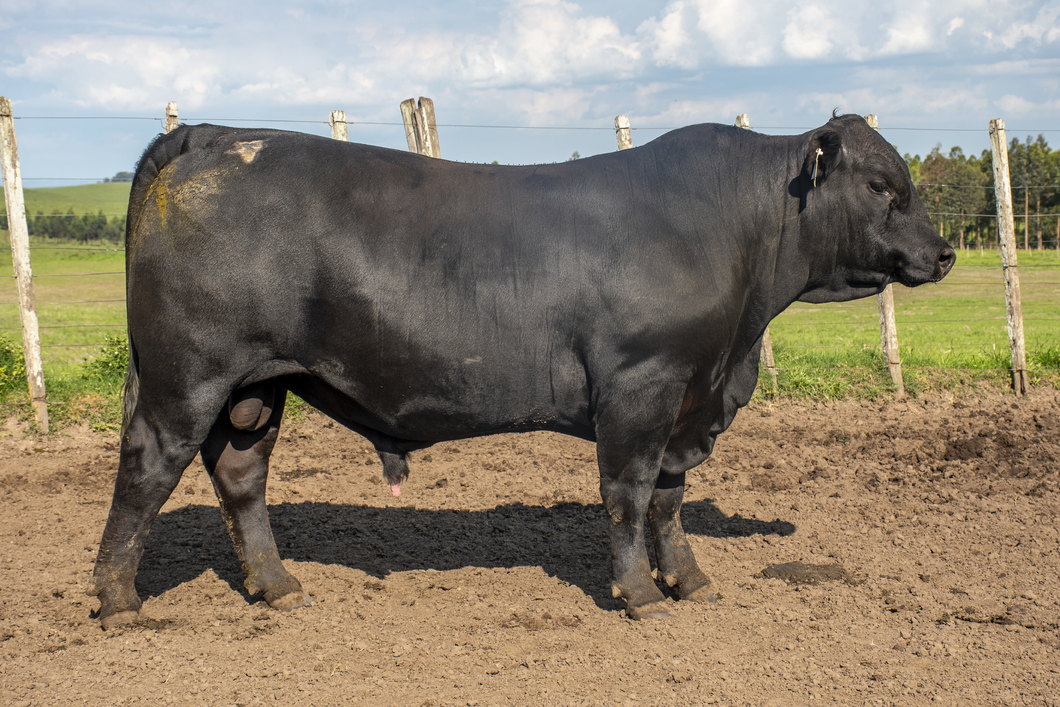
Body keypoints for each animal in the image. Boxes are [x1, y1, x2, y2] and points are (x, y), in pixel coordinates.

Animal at [89, 113, 953, 627]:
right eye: (881, 185)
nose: (944, 253)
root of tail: (213, 132)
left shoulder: (690, 396)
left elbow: (670, 498)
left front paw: (690, 578)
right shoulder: (641, 385)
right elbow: (628, 493)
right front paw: (640, 594)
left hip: (255, 387)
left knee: (241, 476)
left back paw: (276, 583)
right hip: (186, 377)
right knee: (145, 470)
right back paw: (118, 599)